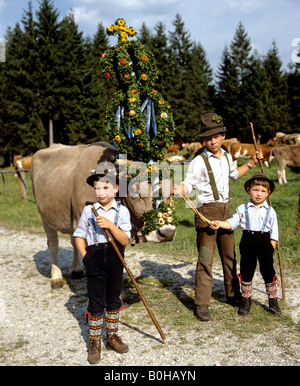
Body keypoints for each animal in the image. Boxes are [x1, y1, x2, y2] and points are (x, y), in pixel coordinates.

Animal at [31, 143, 176, 288]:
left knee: (73, 240)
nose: (167, 232)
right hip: (44, 216)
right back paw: (56, 278)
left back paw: (77, 270)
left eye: (170, 193)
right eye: (136, 192)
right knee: (53, 244)